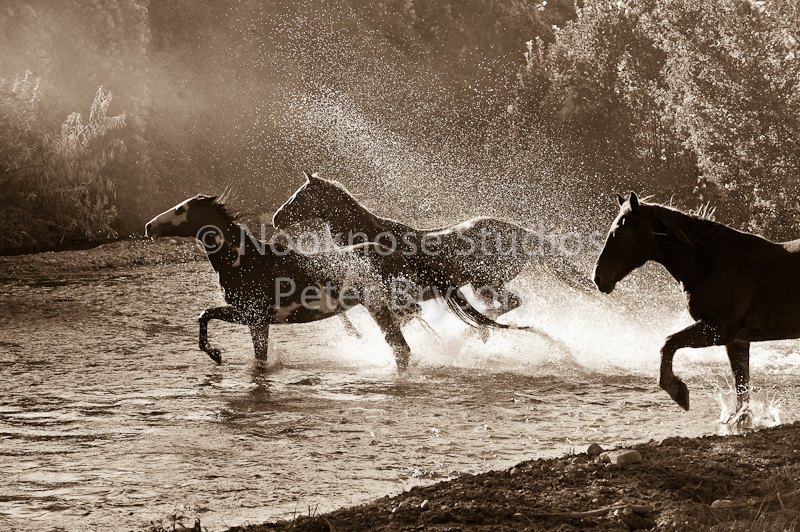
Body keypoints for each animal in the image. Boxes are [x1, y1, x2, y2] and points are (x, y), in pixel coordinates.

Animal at [145, 195, 506, 369]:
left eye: (180, 210)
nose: (149, 226)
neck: (246, 260)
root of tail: (397, 253)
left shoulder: (255, 318)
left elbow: (257, 358)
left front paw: (217, 354)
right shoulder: (250, 316)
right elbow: (205, 315)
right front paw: (215, 354)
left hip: (381, 306)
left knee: (401, 348)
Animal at [272, 172, 594, 320]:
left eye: (299, 195)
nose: (276, 218)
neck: (371, 235)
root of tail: (523, 233)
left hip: (486, 282)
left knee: (509, 304)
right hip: (485, 284)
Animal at [593, 192, 800, 413]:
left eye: (619, 232)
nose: (598, 277)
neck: (708, 262)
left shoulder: (719, 330)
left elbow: (668, 343)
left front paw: (677, 391)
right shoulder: (736, 341)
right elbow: (742, 390)